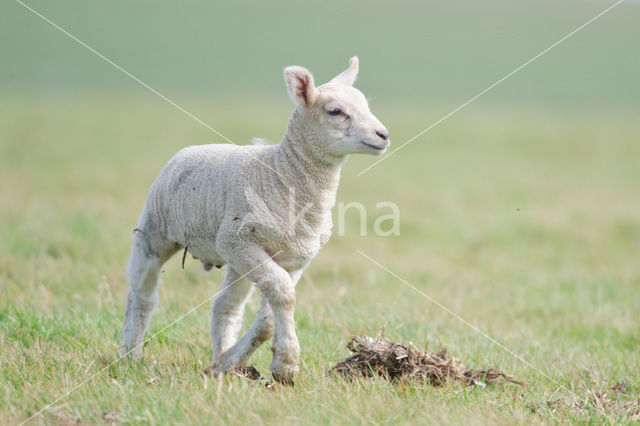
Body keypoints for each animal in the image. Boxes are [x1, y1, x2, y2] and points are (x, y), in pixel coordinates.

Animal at [121, 55, 390, 384]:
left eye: (365, 104)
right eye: (335, 111)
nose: (383, 135)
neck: (282, 173)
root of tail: (189, 150)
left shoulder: (295, 259)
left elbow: (272, 312)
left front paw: (235, 362)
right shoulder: (238, 240)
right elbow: (284, 294)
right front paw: (287, 364)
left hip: (235, 261)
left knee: (226, 307)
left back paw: (220, 361)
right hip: (155, 232)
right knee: (142, 295)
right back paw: (130, 357)